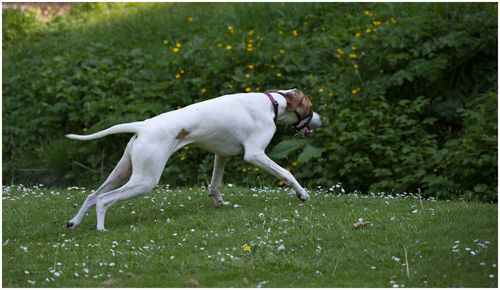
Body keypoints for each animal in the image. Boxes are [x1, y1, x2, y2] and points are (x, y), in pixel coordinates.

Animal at [65, 88, 320, 231]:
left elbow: (215, 185)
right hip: (144, 181)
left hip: (122, 173)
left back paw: (74, 222)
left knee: (92, 196)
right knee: (103, 200)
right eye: (310, 106)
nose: (320, 119)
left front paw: (219, 203)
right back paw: (100, 229)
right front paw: (302, 194)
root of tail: (142, 126)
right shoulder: (255, 154)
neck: (272, 103)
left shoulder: (221, 155)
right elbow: (287, 173)